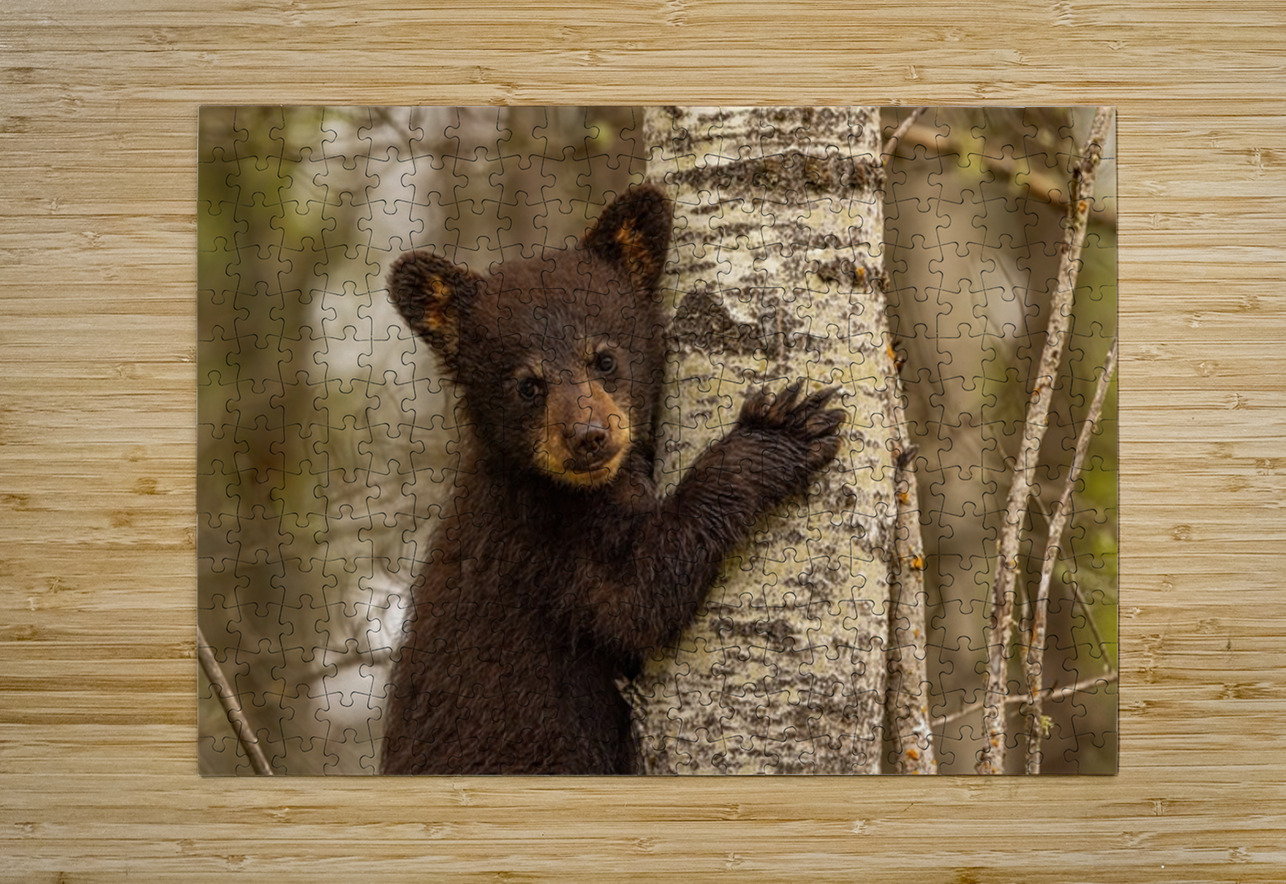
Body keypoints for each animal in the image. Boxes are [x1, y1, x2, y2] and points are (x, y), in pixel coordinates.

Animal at [380, 185, 844, 774]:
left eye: (602, 358)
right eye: (528, 385)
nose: (588, 436)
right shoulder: (546, 545)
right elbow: (637, 595)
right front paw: (778, 432)